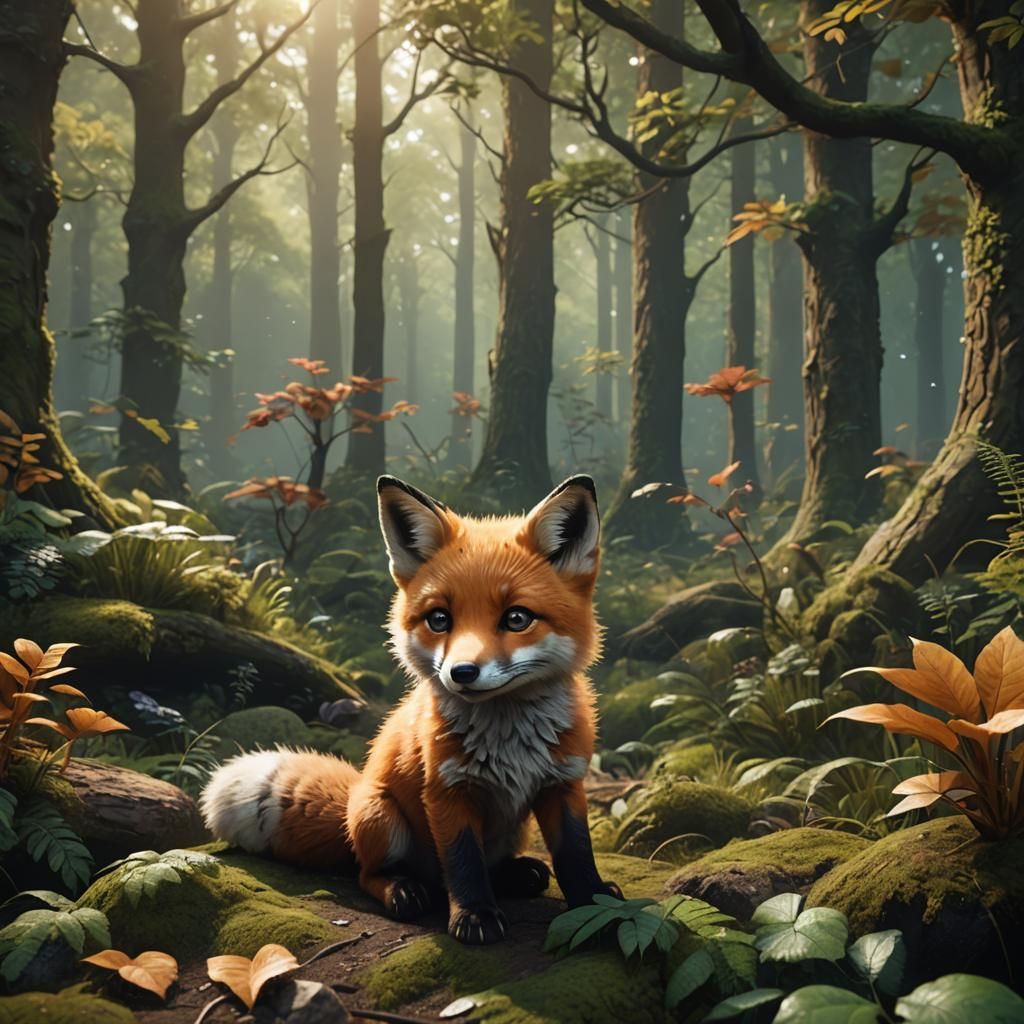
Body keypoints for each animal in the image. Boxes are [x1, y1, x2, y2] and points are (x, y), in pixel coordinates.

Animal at [200, 474, 620, 944]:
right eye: (439, 619)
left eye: (517, 618)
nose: (462, 672)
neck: (509, 739)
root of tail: (352, 801)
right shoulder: (446, 790)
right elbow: (463, 862)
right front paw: (474, 915)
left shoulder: (563, 784)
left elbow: (576, 855)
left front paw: (595, 905)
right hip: (383, 821)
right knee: (370, 874)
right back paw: (404, 889)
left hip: (514, 827)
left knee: (491, 866)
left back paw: (517, 874)